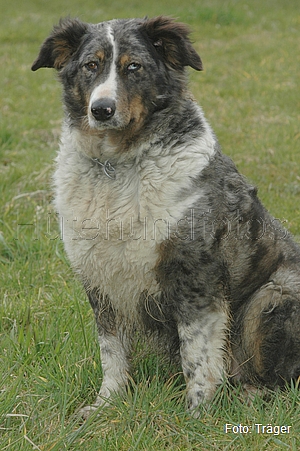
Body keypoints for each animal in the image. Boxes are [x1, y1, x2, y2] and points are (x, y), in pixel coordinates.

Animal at [31, 15, 300, 416]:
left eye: (134, 67)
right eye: (91, 65)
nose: (101, 109)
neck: (117, 166)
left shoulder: (196, 276)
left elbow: (198, 354)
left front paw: (198, 415)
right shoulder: (100, 278)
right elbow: (112, 352)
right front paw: (106, 404)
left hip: (272, 293)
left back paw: (251, 394)